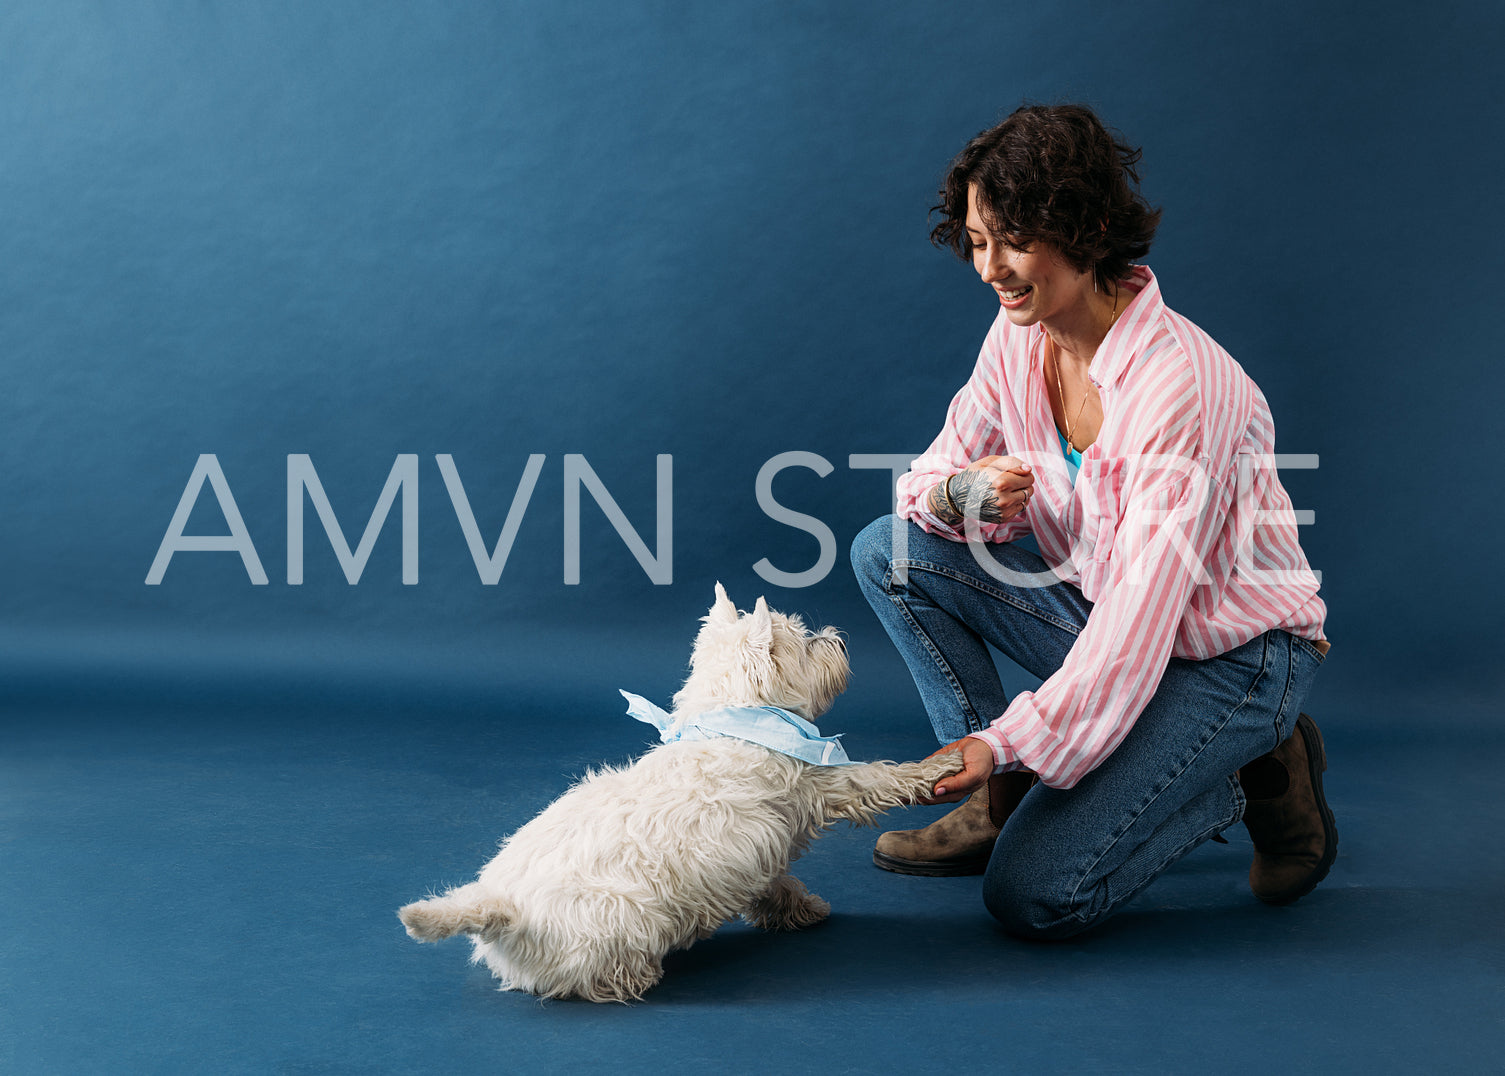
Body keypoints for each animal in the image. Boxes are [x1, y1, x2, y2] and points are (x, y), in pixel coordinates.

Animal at [397, 583, 963, 1005]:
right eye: (804, 642)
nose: (839, 639)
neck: (735, 716)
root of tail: (501, 906)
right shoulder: (820, 785)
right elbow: (876, 778)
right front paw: (944, 764)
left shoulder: (755, 848)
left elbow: (773, 882)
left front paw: (798, 909)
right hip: (614, 923)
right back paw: (636, 977)